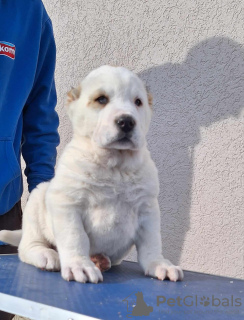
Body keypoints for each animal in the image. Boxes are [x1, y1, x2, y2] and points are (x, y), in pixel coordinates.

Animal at [0, 65, 183, 282]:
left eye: (138, 102)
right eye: (101, 99)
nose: (127, 121)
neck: (114, 166)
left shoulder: (148, 210)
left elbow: (152, 244)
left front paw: (159, 264)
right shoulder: (67, 204)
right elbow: (75, 238)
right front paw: (80, 265)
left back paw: (100, 260)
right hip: (37, 204)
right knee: (27, 247)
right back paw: (48, 254)